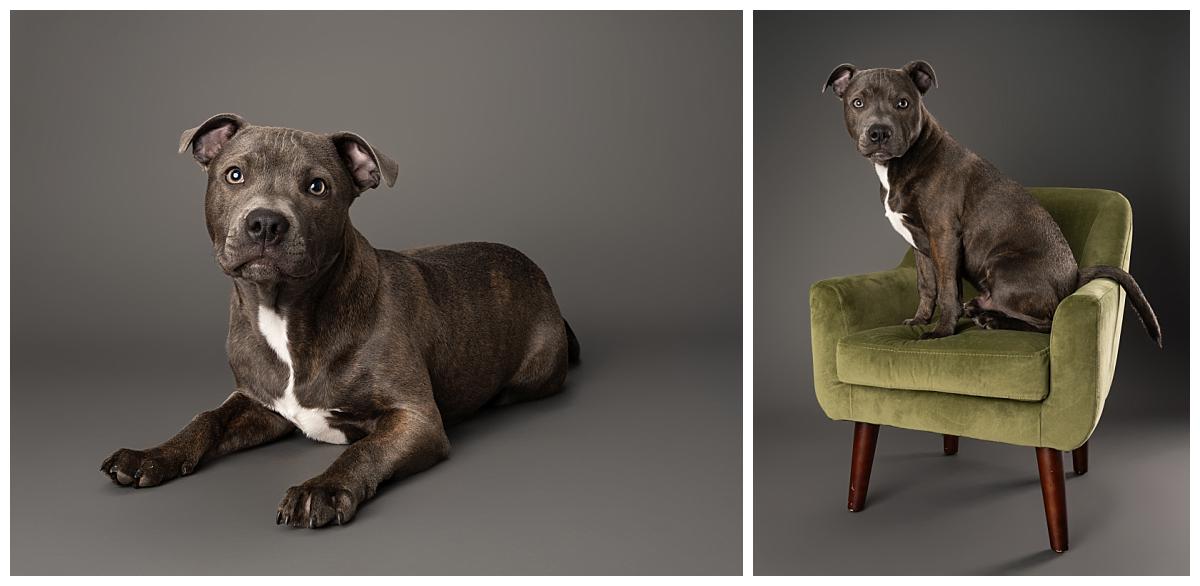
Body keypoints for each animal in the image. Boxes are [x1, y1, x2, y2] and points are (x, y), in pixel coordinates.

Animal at [100, 113, 578, 525]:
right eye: (234, 175)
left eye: (317, 187)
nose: (266, 223)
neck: (285, 313)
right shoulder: (259, 403)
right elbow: (206, 418)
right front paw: (151, 456)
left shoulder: (415, 419)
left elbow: (362, 450)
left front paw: (323, 490)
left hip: (534, 372)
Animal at [825, 61, 1161, 345]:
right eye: (858, 103)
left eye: (903, 103)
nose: (879, 132)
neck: (904, 162)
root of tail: (1074, 277)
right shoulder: (920, 244)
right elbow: (927, 287)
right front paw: (920, 320)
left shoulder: (944, 236)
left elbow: (947, 290)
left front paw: (942, 331)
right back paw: (980, 310)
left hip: (1002, 266)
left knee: (1048, 321)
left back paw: (993, 320)